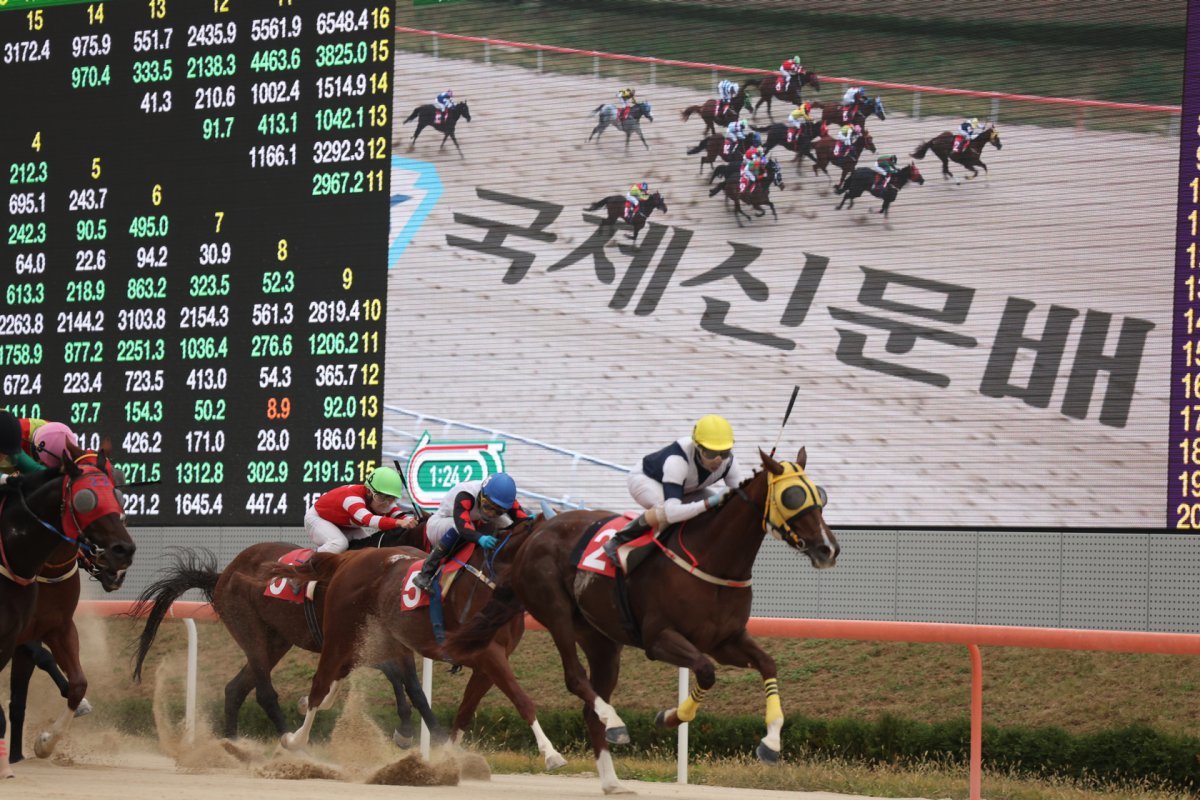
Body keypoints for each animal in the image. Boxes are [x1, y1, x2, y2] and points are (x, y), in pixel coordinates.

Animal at [0, 453, 135, 777]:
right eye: (87, 501)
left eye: (118, 495)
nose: (122, 553)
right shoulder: (23, 636)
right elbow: (41, 662)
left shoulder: (57, 627)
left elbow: (76, 684)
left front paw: (43, 742)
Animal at [131, 527, 436, 748]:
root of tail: (223, 574)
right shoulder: (345, 642)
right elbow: (398, 676)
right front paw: (410, 731)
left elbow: (407, 683)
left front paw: (411, 731)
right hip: (247, 626)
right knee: (264, 693)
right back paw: (292, 743)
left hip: (277, 641)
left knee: (235, 689)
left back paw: (234, 746)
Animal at [267, 515, 566, 772]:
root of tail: (351, 557)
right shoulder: (489, 654)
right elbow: (522, 700)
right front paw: (552, 754)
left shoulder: (486, 664)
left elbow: (465, 712)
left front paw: (450, 757)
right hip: (340, 634)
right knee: (320, 684)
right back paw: (293, 740)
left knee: (337, 677)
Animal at [446, 450, 840, 796]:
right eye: (792, 496)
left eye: (819, 495)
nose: (828, 549)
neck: (712, 559)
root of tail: (535, 534)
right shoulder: (659, 639)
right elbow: (706, 671)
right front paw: (669, 717)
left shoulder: (726, 640)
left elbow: (766, 664)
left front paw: (771, 742)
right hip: (554, 612)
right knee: (575, 679)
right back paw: (614, 723)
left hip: (602, 640)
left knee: (590, 705)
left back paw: (612, 781)